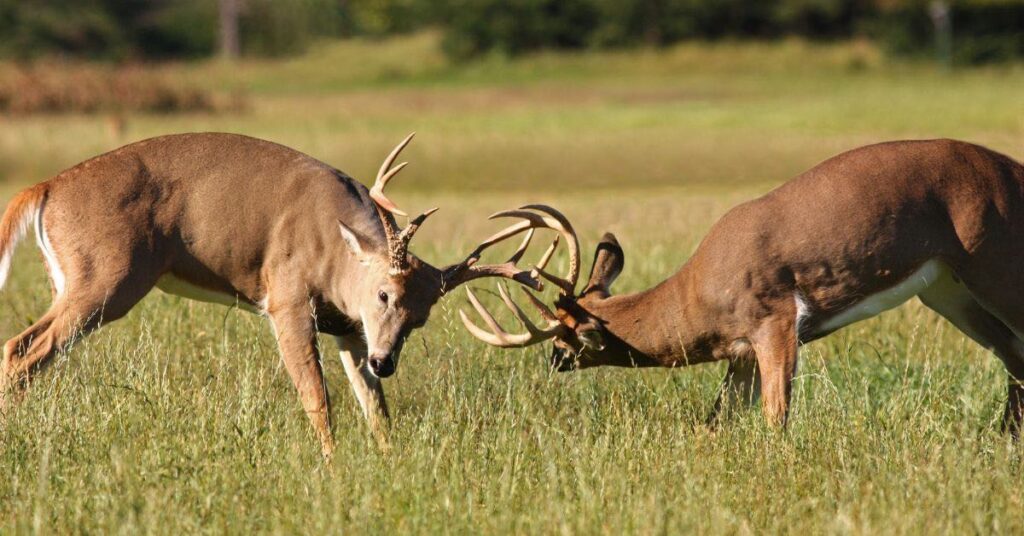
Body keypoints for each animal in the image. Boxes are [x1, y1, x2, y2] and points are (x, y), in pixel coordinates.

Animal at [0, 132, 579, 457]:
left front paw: (390, 461)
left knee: (27, 348)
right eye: (385, 295)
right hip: (105, 279)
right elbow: (316, 395)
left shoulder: (349, 329)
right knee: (24, 348)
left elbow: (374, 403)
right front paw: (332, 466)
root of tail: (44, 188)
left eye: (422, 316)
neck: (336, 249)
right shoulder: (286, 297)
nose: (388, 359)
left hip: (70, 279)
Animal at [460, 139, 1024, 435]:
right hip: (946, 289)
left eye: (564, 333)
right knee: (1012, 355)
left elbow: (777, 416)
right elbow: (717, 419)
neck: (697, 298)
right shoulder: (742, 352)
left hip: (993, 261)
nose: (553, 360)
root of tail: (1015, 169)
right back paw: (1003, 436)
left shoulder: (775, 319)